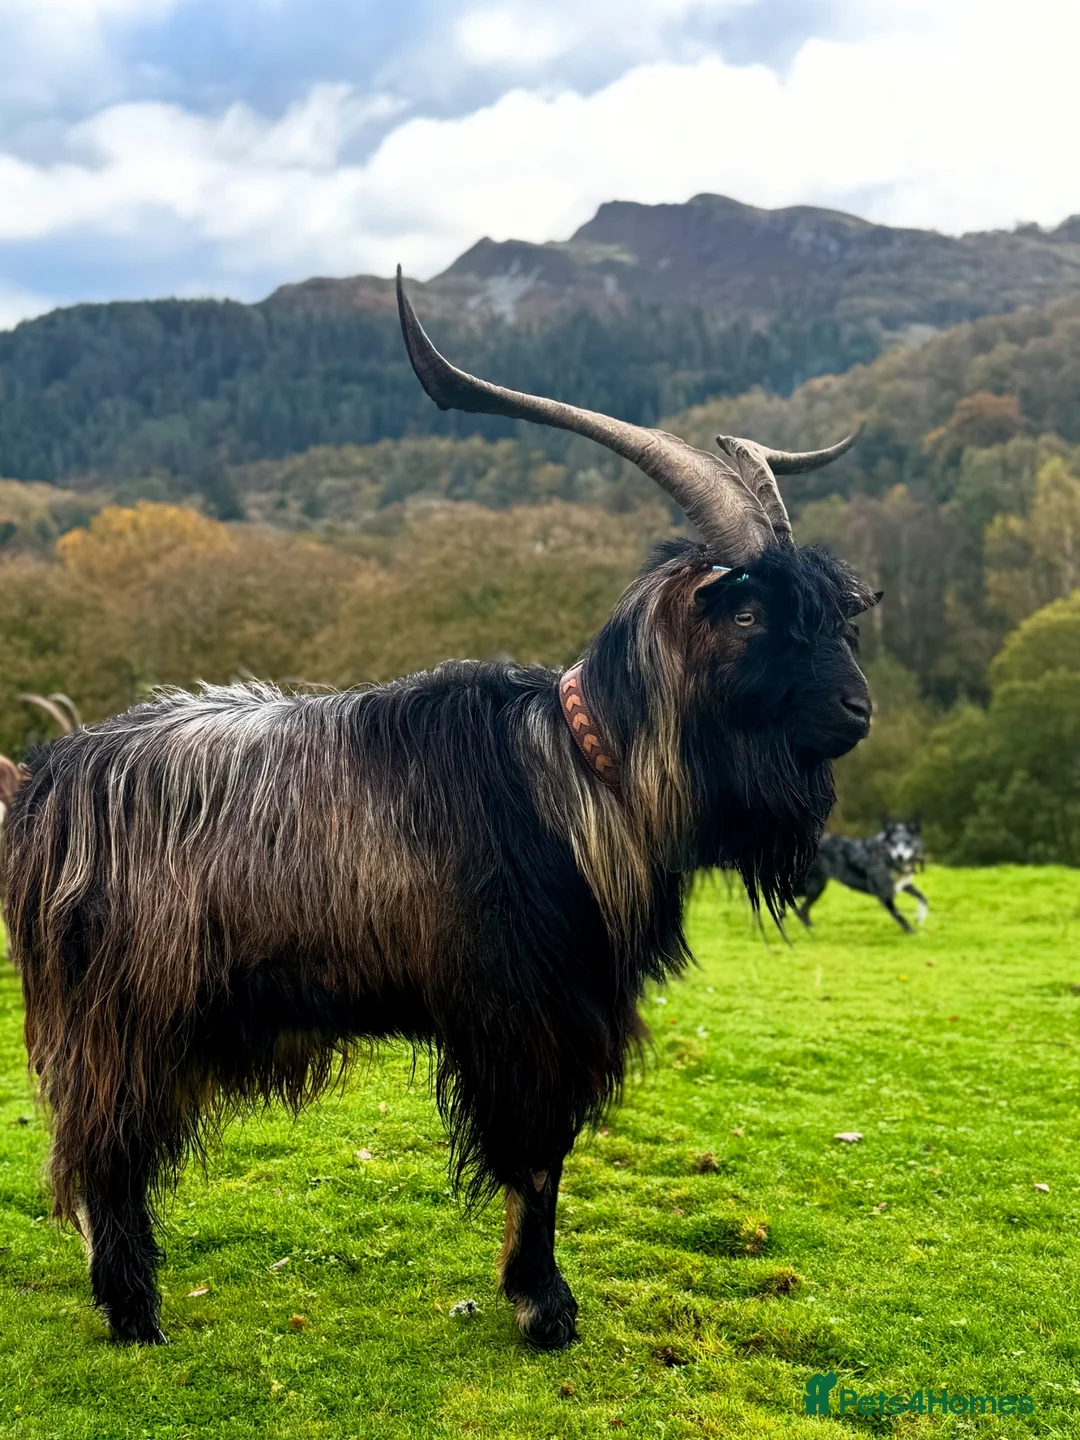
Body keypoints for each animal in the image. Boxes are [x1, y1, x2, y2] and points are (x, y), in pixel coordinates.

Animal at [1, 273, 876, 1351]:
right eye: (752, 613)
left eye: (835, 616)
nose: (858, 710)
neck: (582, 771)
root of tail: (48, 786)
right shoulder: (523, 1014)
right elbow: (535, 1157)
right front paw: (544, 1306)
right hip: (126, 1017)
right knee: (107, 1152)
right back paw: (135, 1313)